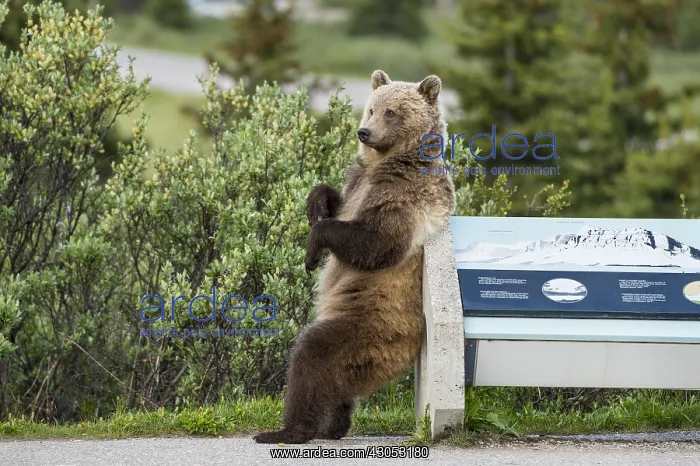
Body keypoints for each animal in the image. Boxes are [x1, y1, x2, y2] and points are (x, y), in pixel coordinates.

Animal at [253, 70, 456, 444]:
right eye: (371, 109)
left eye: (392, 112)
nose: (364, 132)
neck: (389, 162)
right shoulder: (358, 184)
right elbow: (337, 199)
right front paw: (316, 202)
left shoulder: (403, 199)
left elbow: (373, 243)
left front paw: (313, 248)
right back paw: (333, 425)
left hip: (371, 327)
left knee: (312, 354)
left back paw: (288, 429)